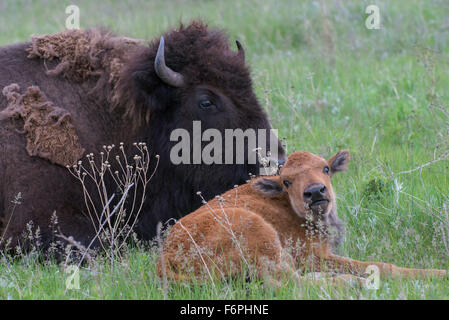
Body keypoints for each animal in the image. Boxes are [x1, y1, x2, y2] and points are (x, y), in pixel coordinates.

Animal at [158, 150, 444, 282]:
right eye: (286, 181)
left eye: (326, 168)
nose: (315, 192)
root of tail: (166, 256)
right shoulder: (315, 256)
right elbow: (378, 265)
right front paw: (439, 273)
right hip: (260, 234)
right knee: (291, 283)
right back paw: (352, 283)